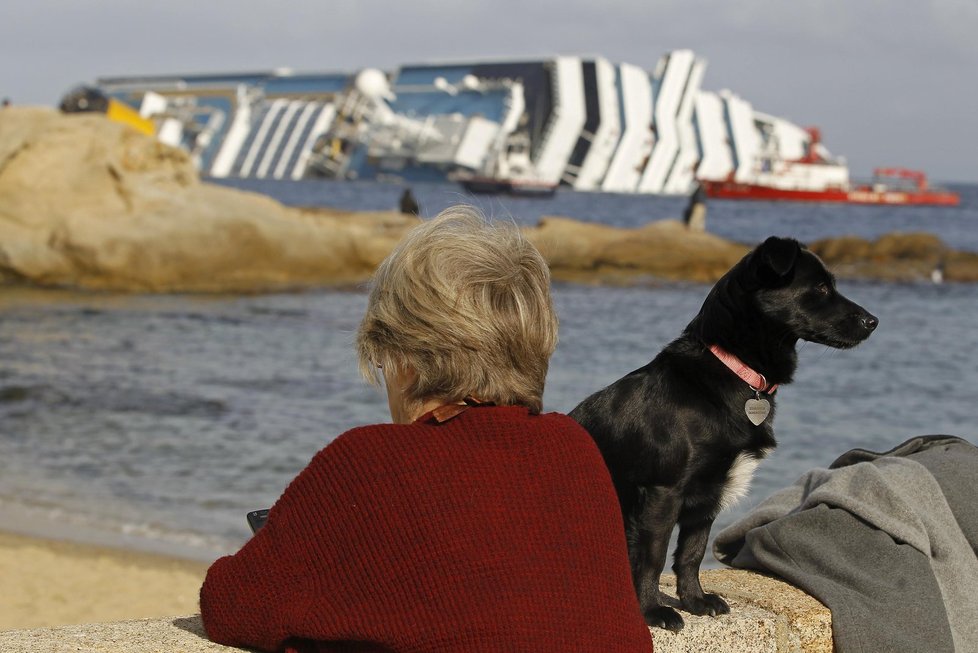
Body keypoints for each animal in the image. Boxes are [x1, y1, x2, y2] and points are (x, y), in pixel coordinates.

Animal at [568, 237, 872, 628]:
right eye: (820, 288)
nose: (873, 321)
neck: (733, 373)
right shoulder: (663, 493)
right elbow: (653, 557)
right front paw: (653, 610)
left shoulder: (710, 494)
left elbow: (692, 553)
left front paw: (695, 601)